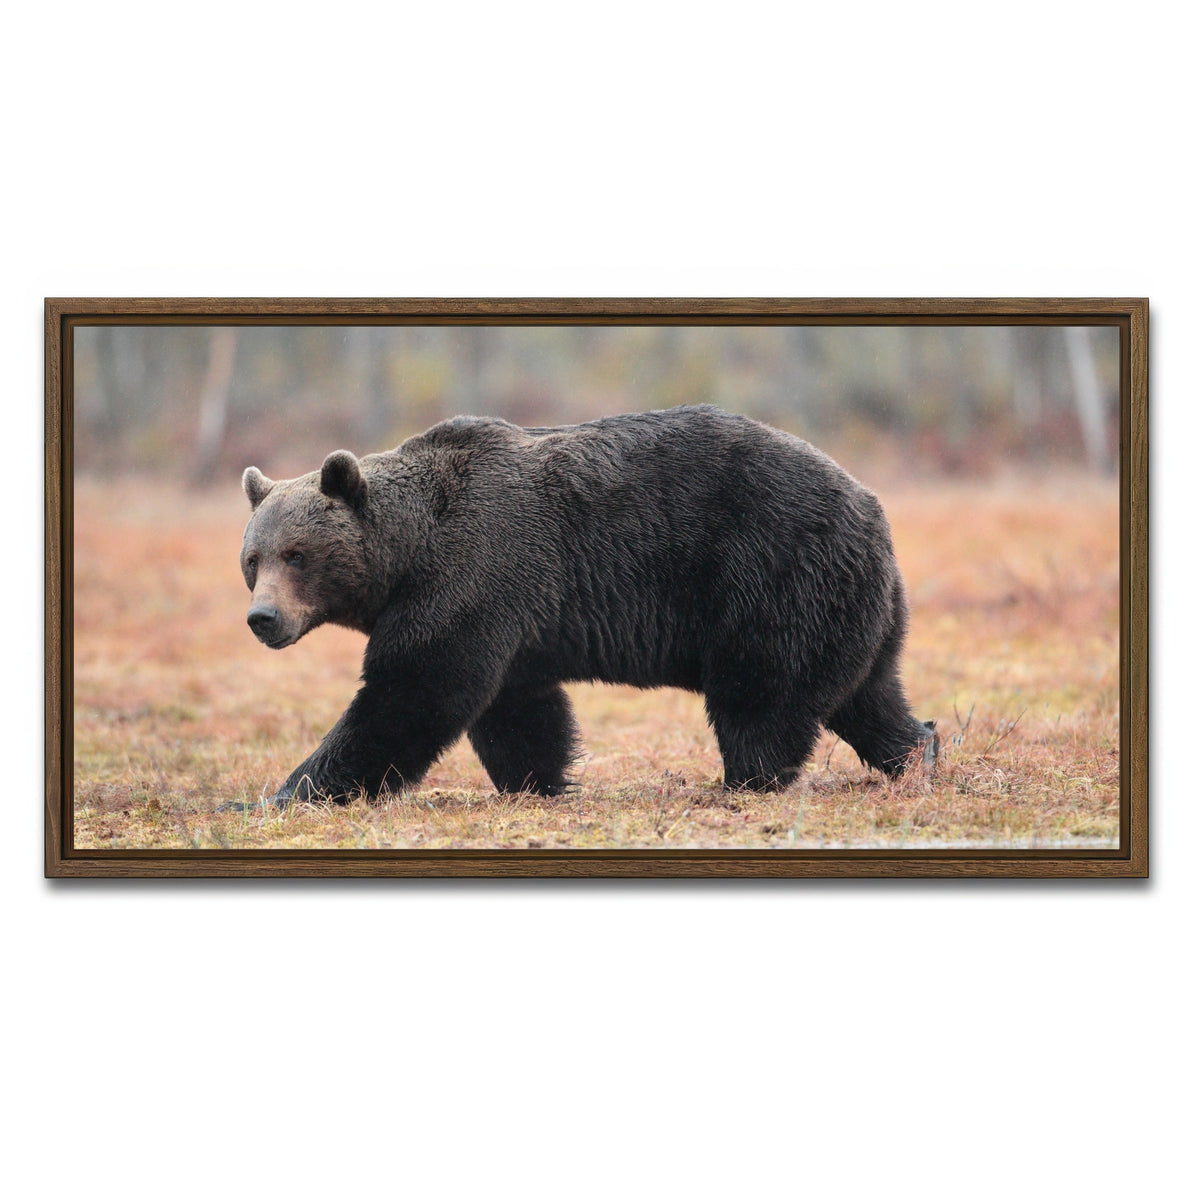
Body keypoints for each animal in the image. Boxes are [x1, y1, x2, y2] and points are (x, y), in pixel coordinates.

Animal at [239, 405, 937, 806]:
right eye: (252, 560)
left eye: (296, 554)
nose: (262, 619)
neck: (408, 553)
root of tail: (870, 504)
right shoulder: (510, 615)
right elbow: (518, 710)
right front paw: (537, 782)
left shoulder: (474, 572)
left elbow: (412, 692)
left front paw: (287, 793)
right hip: (855, 605)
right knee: (867, 695)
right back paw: (918, 752)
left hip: (771, 573)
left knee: (761, 696)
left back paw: (743, 782)